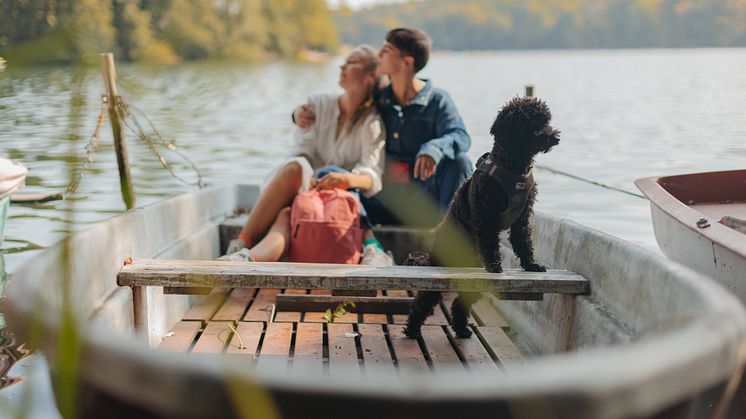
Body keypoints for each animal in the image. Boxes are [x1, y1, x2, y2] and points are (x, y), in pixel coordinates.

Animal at [406, 97, 560, 340]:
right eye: (532, 123)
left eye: (545, 120)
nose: (554, 136)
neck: (513, 167)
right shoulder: (485, 215)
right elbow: (490, 242)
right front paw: (496, 266)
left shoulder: (522, 218)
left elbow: (524, 242)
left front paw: (531, 265)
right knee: (425, 299)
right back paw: (412, 329)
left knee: (460, 303)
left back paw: (461, 329)